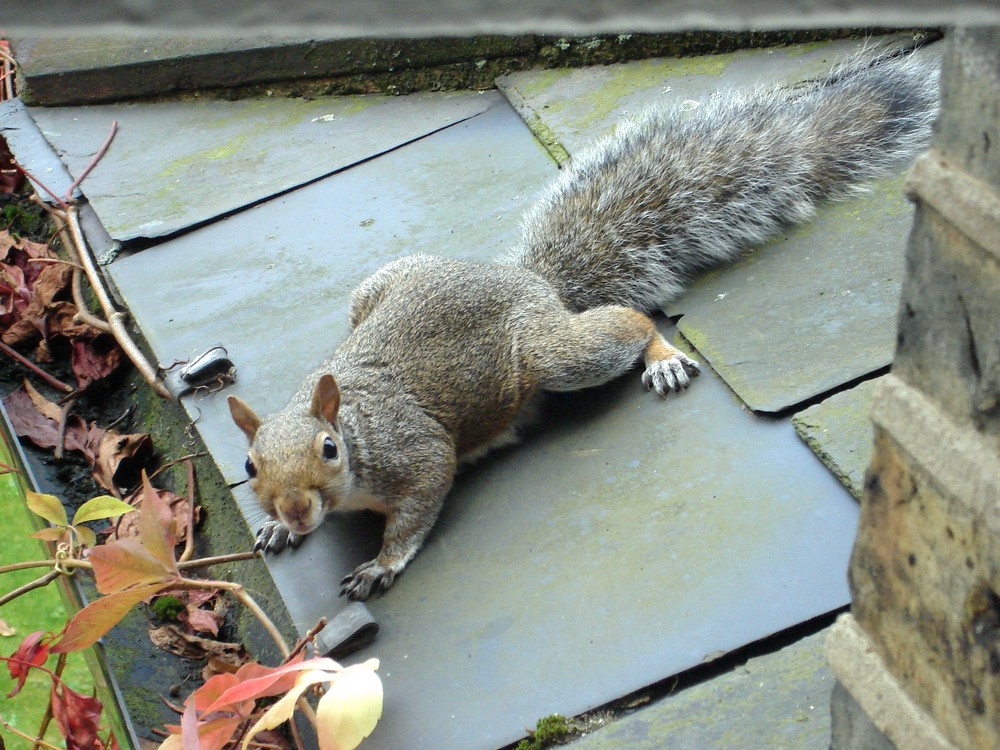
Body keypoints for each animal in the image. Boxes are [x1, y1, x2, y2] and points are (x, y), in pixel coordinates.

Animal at [227, 48, 936, 600]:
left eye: (330, 449)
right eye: (250, 467)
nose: (295, 509)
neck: (354, 429)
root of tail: (530, 281)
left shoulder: (416, 452)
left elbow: (420, 503)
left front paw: (380, 563)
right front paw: (275, 528)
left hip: (552, 354)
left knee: (625, 323)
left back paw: (660, 356)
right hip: (373, 292)